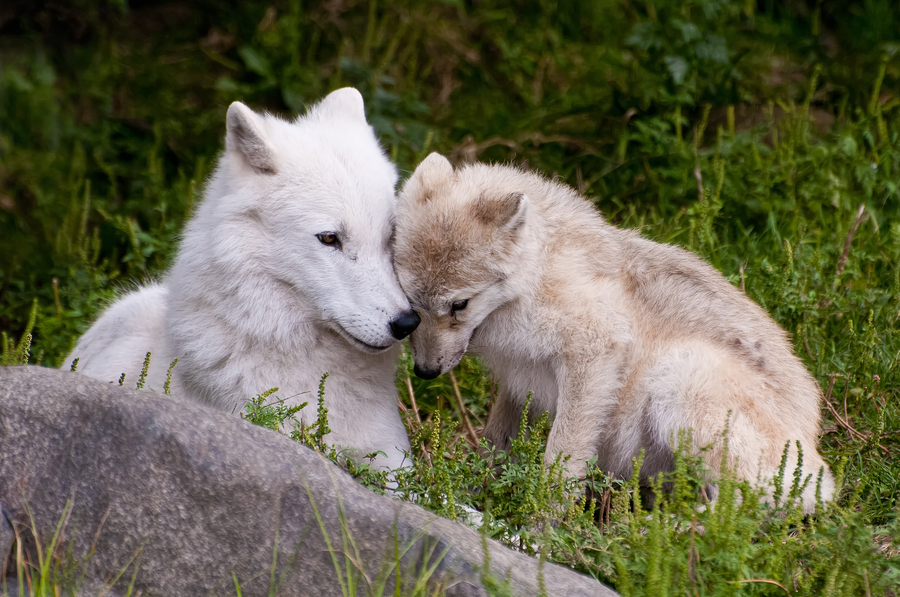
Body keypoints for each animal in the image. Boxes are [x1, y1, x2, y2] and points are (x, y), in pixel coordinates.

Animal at [394, 152, 836, 508]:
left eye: (459, 305)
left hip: (678, 377)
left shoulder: (593, 352)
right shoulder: (521, 385)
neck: (538, 277)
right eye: (413, 304)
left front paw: (540, 524)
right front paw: (473, 494)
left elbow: (561, 459)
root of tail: (815, 451)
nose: (425, 372)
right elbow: (496, 444)